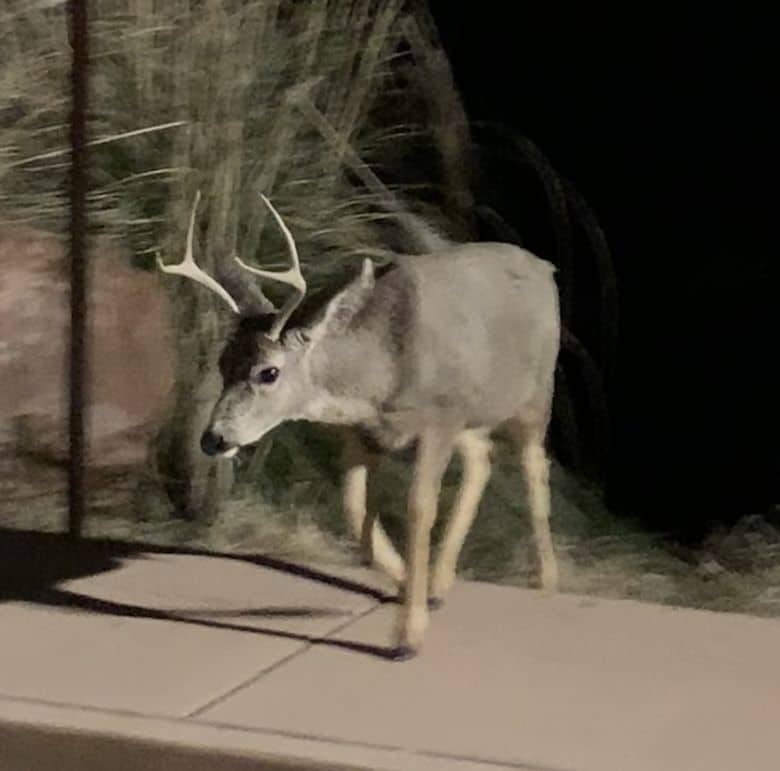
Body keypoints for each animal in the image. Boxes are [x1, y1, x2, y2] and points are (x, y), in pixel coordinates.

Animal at [160, 190, 560, 660]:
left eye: (269, 372)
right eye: (223, 364)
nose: (214, 438)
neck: (378, 372)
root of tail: (545, 267)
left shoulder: (439, 417)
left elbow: (419, 509)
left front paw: (408, 636)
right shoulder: (362, 432)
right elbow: (353, 507)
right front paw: (407, 582)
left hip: (535, 394)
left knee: (534, 467)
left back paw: (547, 582)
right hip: (472, 415)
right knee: (482, 458)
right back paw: (440, 584)